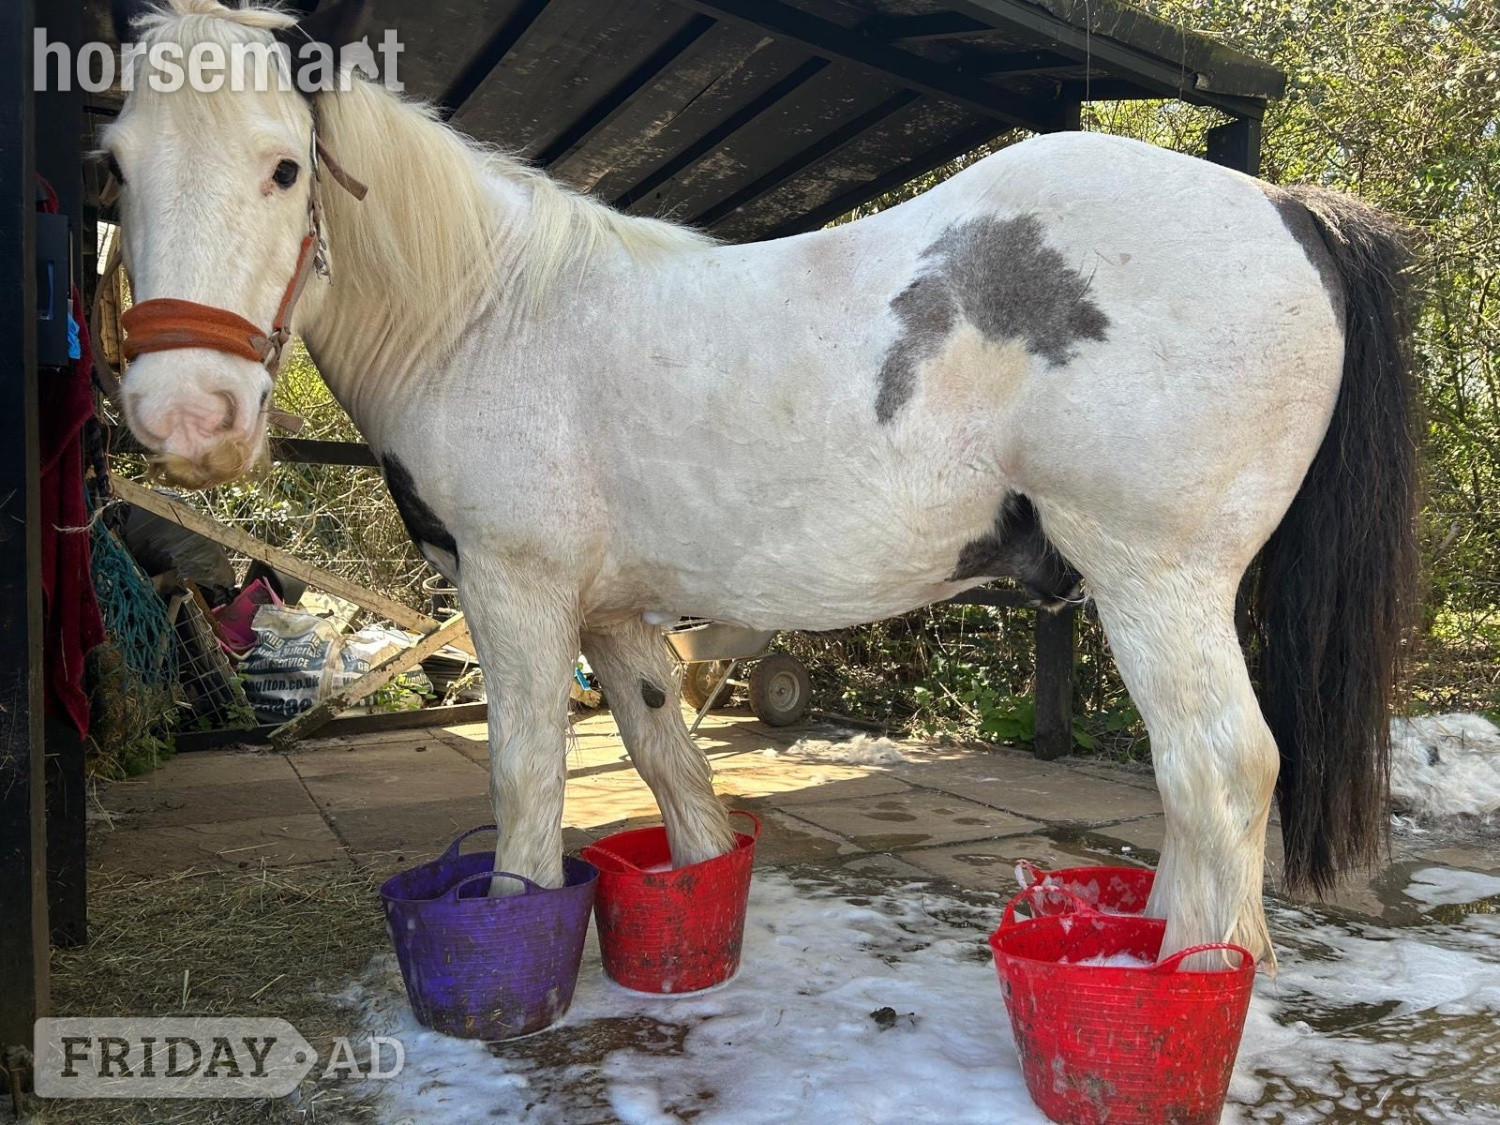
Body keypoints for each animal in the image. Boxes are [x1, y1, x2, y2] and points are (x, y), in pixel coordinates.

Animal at [106, 0, 1417, 966]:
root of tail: (1284, 204)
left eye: (286, 169)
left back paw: (1194, 975)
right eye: (115, 167)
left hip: (1159, 581)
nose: (187, 416)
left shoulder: (516, 591)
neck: (487, 318)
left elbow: (526, 775)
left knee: (1221, 769)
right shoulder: (612, 613)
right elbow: (666, 764)